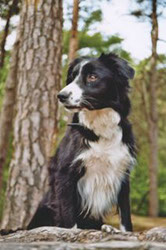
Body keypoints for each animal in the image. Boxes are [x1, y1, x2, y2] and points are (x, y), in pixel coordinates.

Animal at [27, 52, 136, 232]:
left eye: (92, 77)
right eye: (71, 77)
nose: (61, 96)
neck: (100, 127)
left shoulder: (123, 173)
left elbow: (126, 215)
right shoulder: (65, 174)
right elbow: (69, 219)